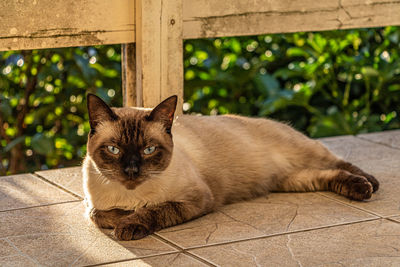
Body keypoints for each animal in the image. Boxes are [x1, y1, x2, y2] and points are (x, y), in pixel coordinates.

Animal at [82, 95, 378, 242]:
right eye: (114, 150)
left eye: (149, 150)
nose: (131, 171)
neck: (131, 194)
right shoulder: (92, 206)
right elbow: (100, 215)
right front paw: (122, 218)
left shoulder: (197, 200)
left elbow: (151, 211)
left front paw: (128, 223)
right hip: (292, 181)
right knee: (327, 175)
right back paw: (359, 188)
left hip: (305, 153)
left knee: (337, 162)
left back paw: (369, 184)